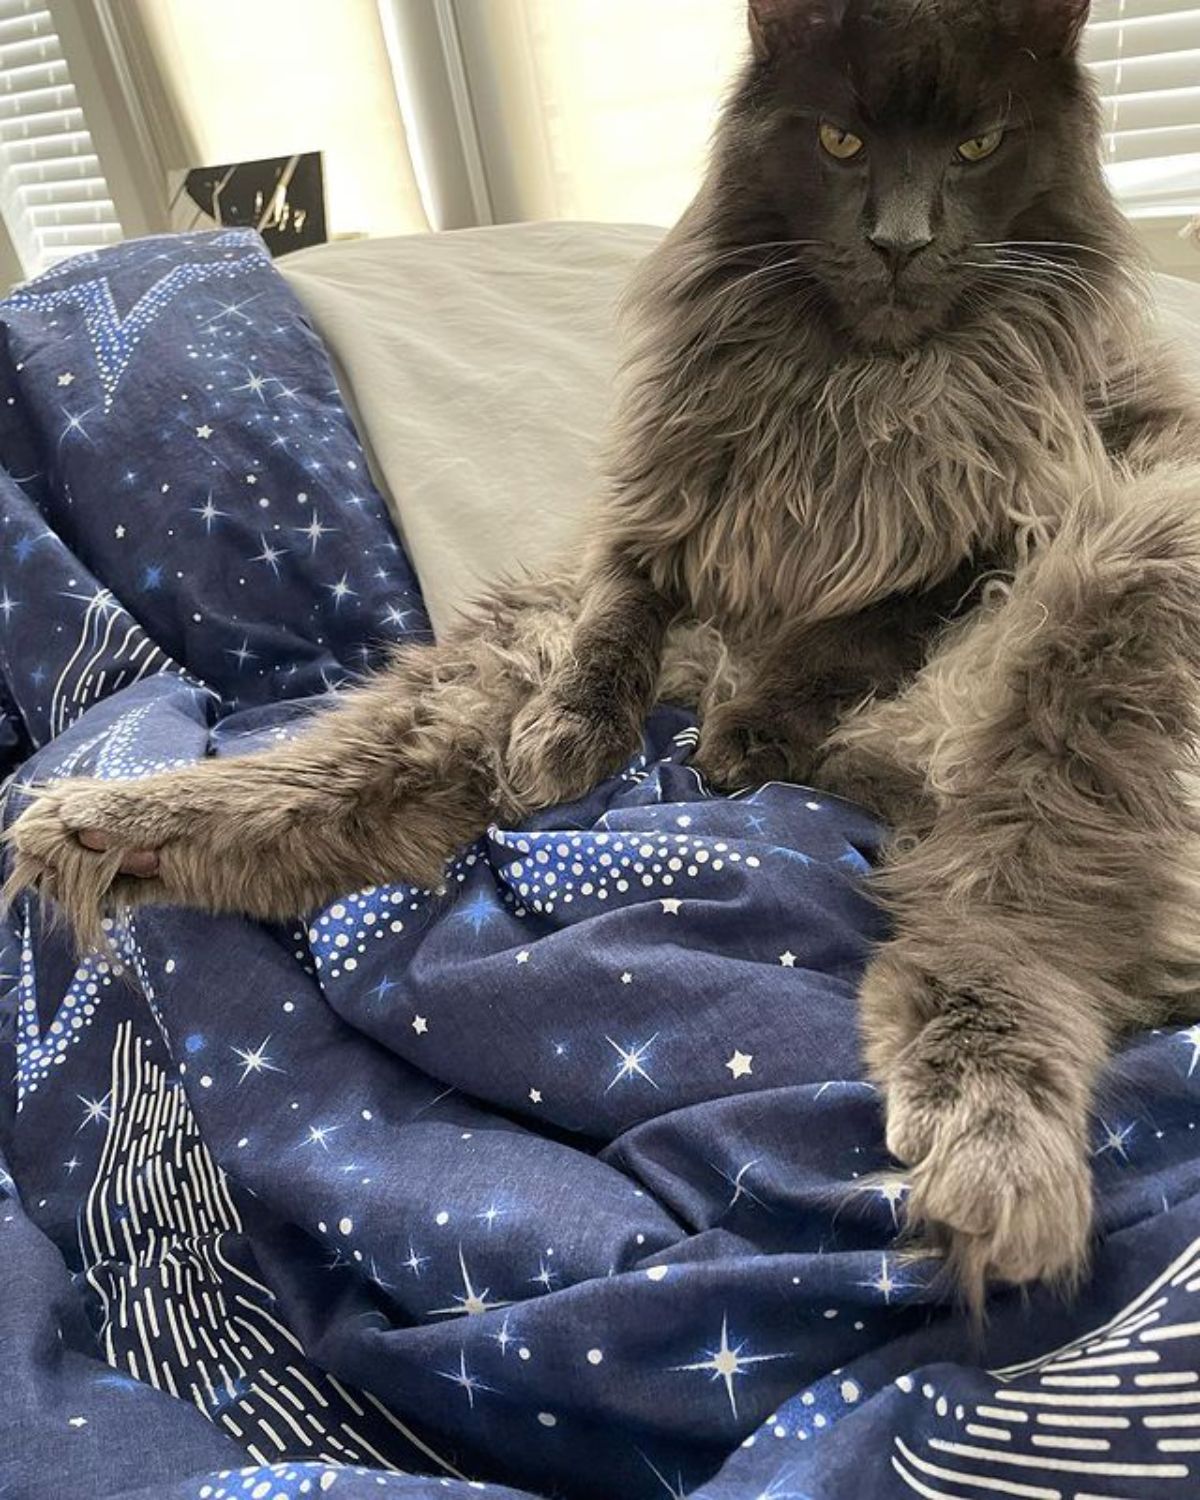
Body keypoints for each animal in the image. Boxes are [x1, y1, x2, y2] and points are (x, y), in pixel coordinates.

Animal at [9, 0, 1200, 1308]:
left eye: (979, 145)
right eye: (840, 141)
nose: (900, 241)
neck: (853, 390)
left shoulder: (975, 541)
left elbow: (848, 628)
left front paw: (747, 731)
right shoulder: (649, 535)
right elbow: (611, 631)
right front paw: (574, 734)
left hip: (1106, 628)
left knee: (1004, 943)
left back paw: (995, 1167)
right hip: (478, 690)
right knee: (328, 799)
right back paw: (100, 831)